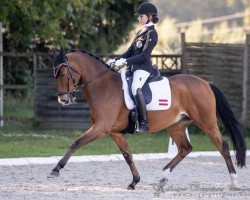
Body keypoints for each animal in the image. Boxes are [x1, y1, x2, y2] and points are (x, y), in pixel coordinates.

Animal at [48, 49, 246, 190]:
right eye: (54, 75)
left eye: (63, 74)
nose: (62, 99)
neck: (103, 85)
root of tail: (206, 83)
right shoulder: (114, 132)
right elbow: (127, 155)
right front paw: (134, 181)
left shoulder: (101, 127)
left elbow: (76, 143)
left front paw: (55, 170)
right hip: (176, 126)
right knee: (185, 148)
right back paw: (163, 178)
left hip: (207, 123)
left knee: (223, 146)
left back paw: (234, 182)